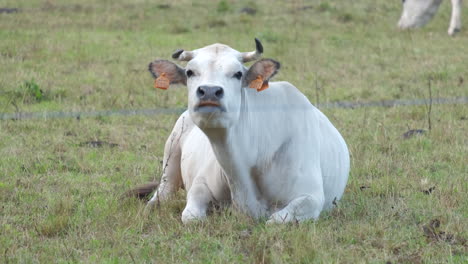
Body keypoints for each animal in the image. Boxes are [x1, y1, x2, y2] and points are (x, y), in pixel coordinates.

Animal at [144, 40, 350, 224]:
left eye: (238, 74)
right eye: (189, 72)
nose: (209, 91)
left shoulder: (311, 196)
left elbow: (274, 221)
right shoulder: (200, 183)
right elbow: (191, 218)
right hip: (172, 150)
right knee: (164, 190)